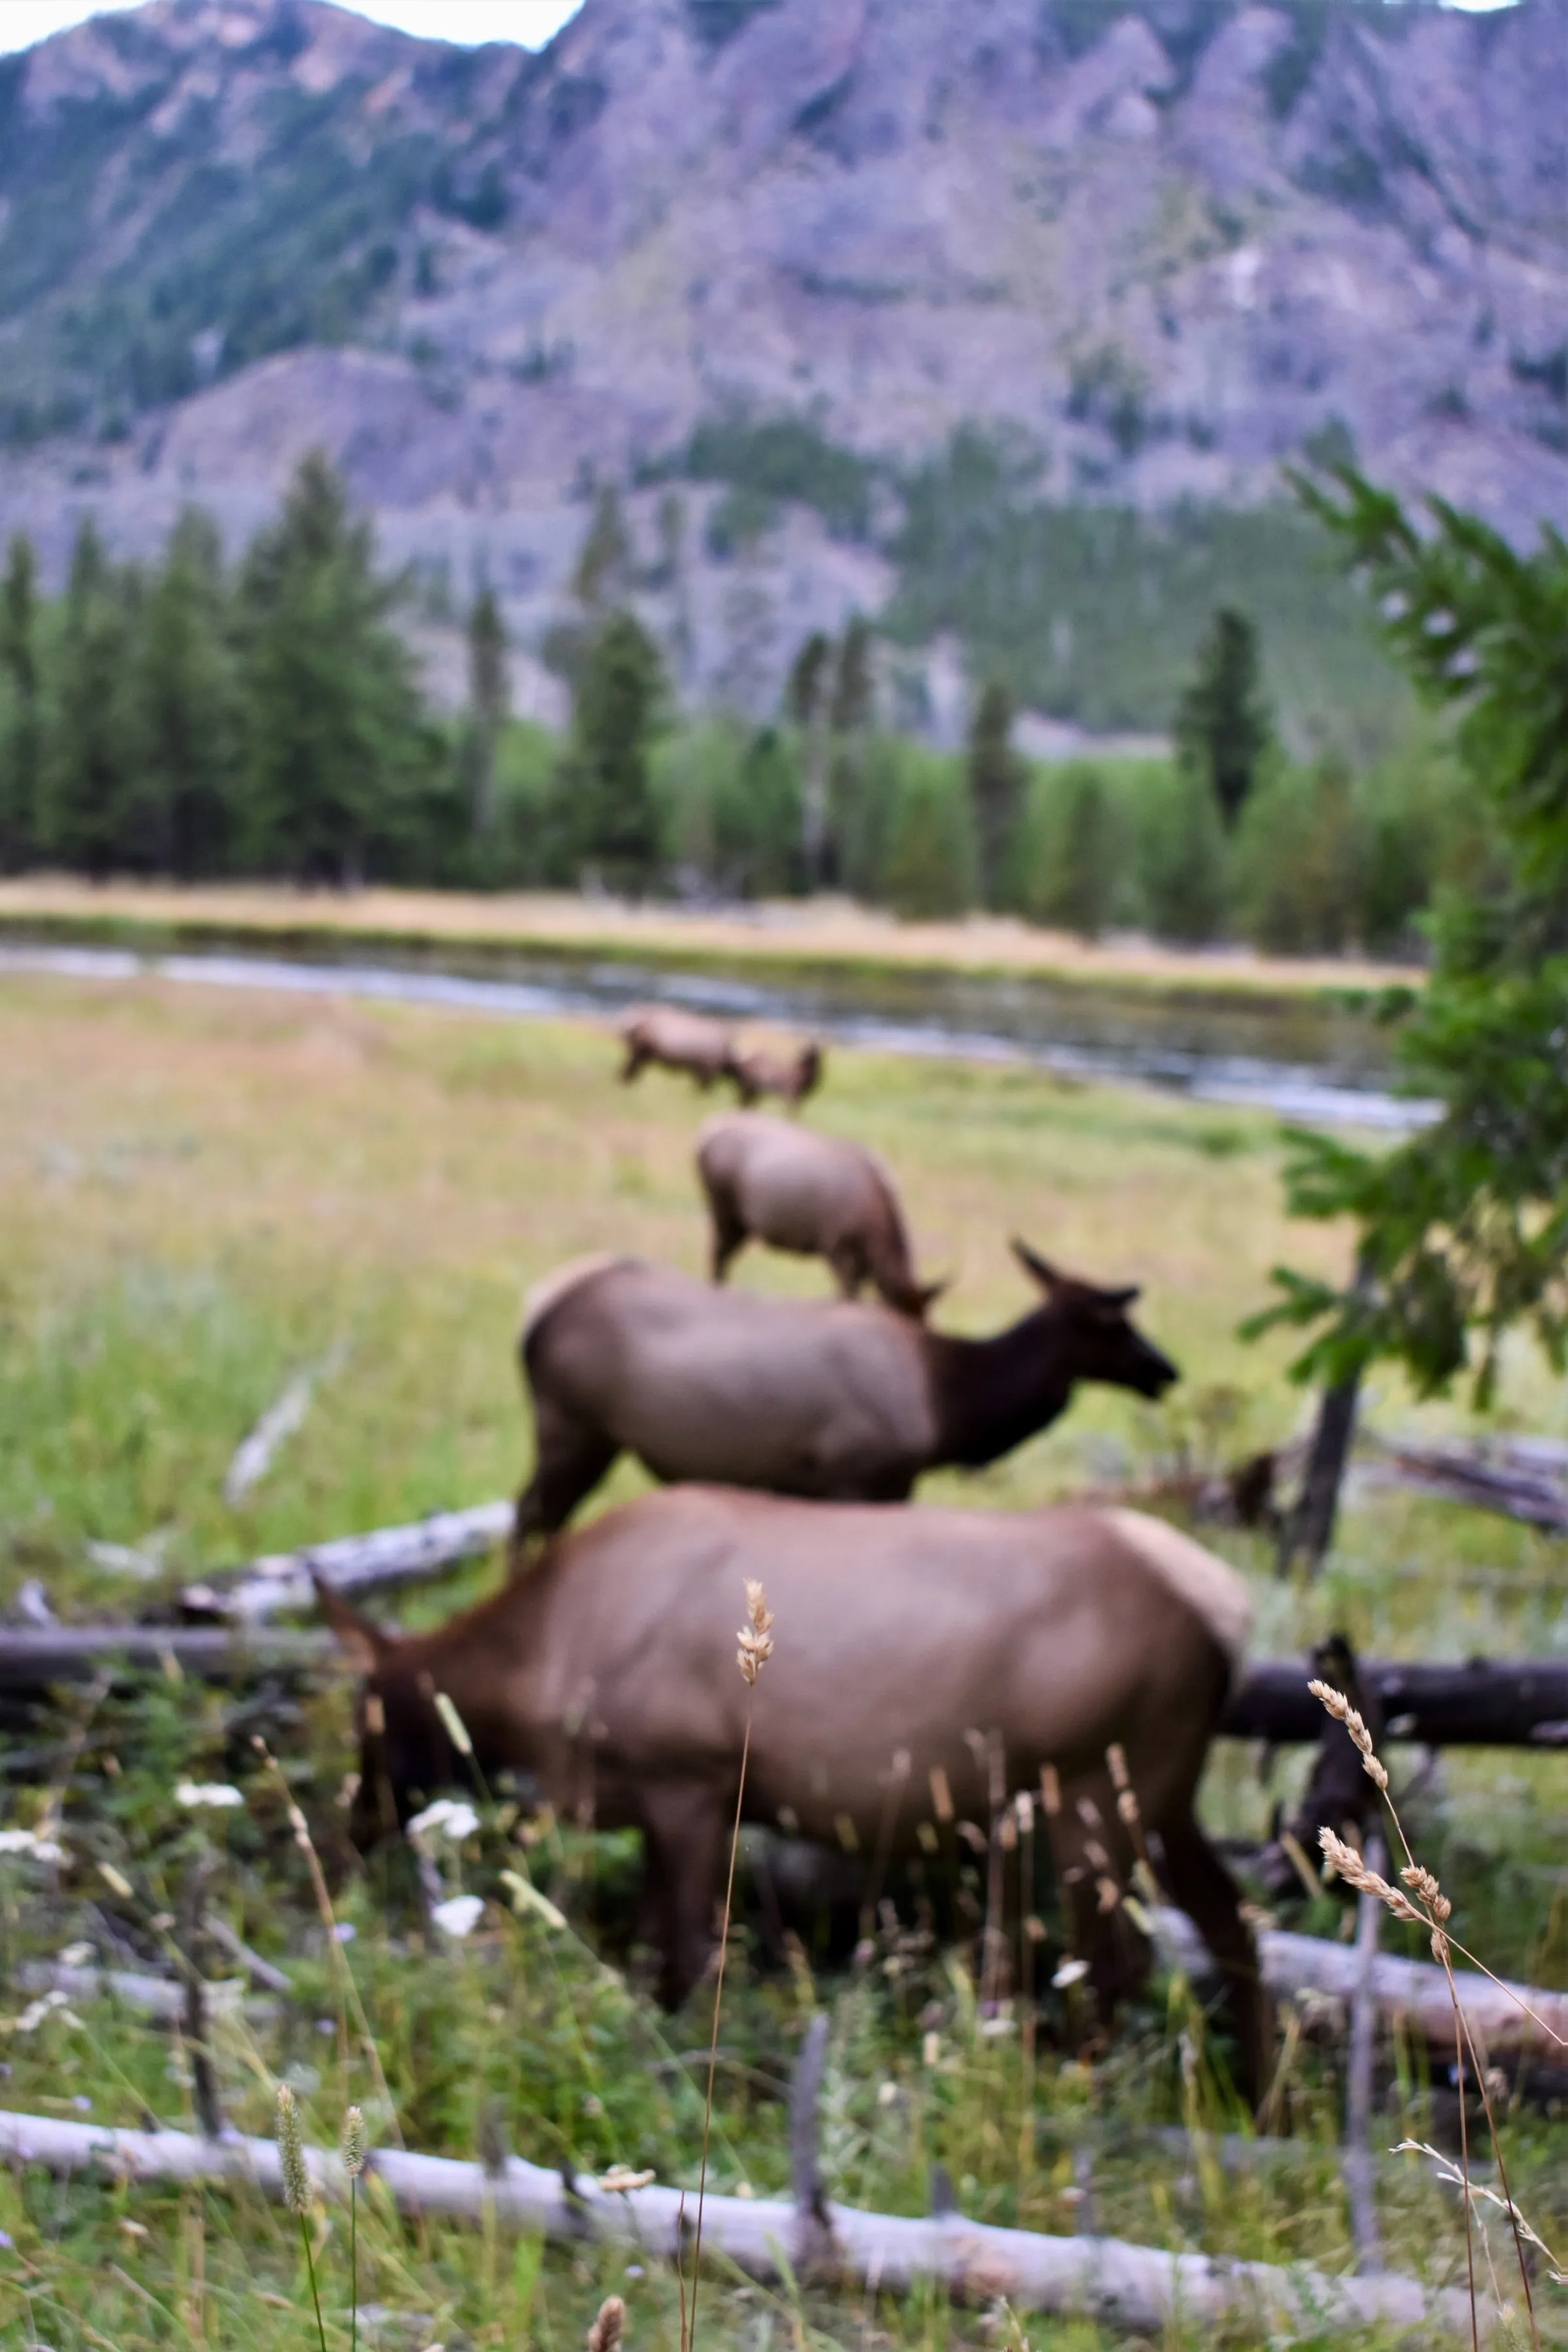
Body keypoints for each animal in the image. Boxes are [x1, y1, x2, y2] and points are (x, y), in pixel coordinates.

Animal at [315, 1484, 1267, 2101]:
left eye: (367, 1721)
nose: (348, 1835)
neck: (541, 1675)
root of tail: (1231, 1612)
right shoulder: (665, 1802)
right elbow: (653, 1944)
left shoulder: (690, 1780)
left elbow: (688, 1954)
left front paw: (681, 2064)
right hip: (1163, 1786)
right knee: (1230, 1920)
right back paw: (1256, 2095)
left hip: (1094, 1782)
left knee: (1119, 1957)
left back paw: (1065, 2075)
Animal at [511, 1240, 1177, 1543]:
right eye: (1118, 1324)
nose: (1167, 1369)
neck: (948, 1408)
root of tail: (533, 1323)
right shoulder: (857, 1474)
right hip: (571, 1425)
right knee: (528, 1514)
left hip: (595, 1438)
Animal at [696, 1110, 944, 1316]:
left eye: (927, 1319)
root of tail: (700, 1140)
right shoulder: (836, 1248)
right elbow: (848, 1297)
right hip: (723, 1210)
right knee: (718, 1254)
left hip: (741, 1224)